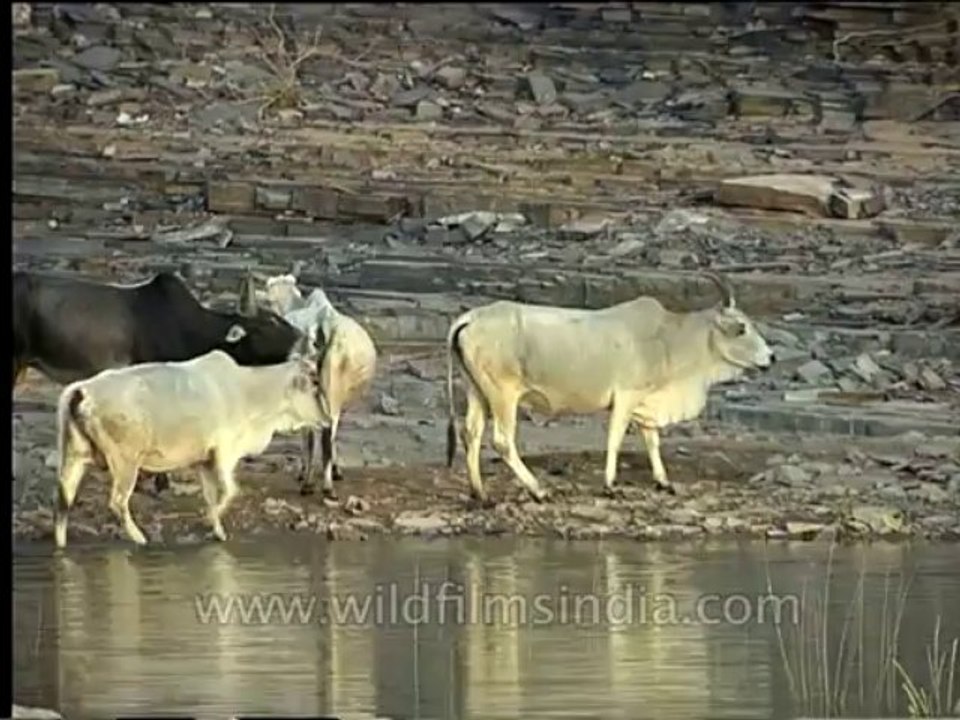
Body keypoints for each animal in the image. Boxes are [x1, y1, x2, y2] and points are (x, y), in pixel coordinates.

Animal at [53, 343, 324, 549]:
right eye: (314, 383)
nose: (326, 419)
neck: (248, 392)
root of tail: (82, 390)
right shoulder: (224, 453)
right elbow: (229, 491)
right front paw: (211, 522)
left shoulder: (204, 460)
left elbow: (212, 496)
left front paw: (217, 530)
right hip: (125, 461)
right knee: (117, 502)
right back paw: (140, 538)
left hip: (74, 455)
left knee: (64, 497)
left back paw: (61, 544)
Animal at [443, 272, 775, 504]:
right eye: (741, 328)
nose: (771, 357)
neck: (668, 340)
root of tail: (471, 317)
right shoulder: (626, 396)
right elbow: (615, 439)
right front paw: (610, 485)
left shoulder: (645, 401)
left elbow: (652, 441)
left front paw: (663, 482)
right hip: (503, 395)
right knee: (502, 441)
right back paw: (539, 491)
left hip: (477, 391)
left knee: (471, 434)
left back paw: (481, 494)